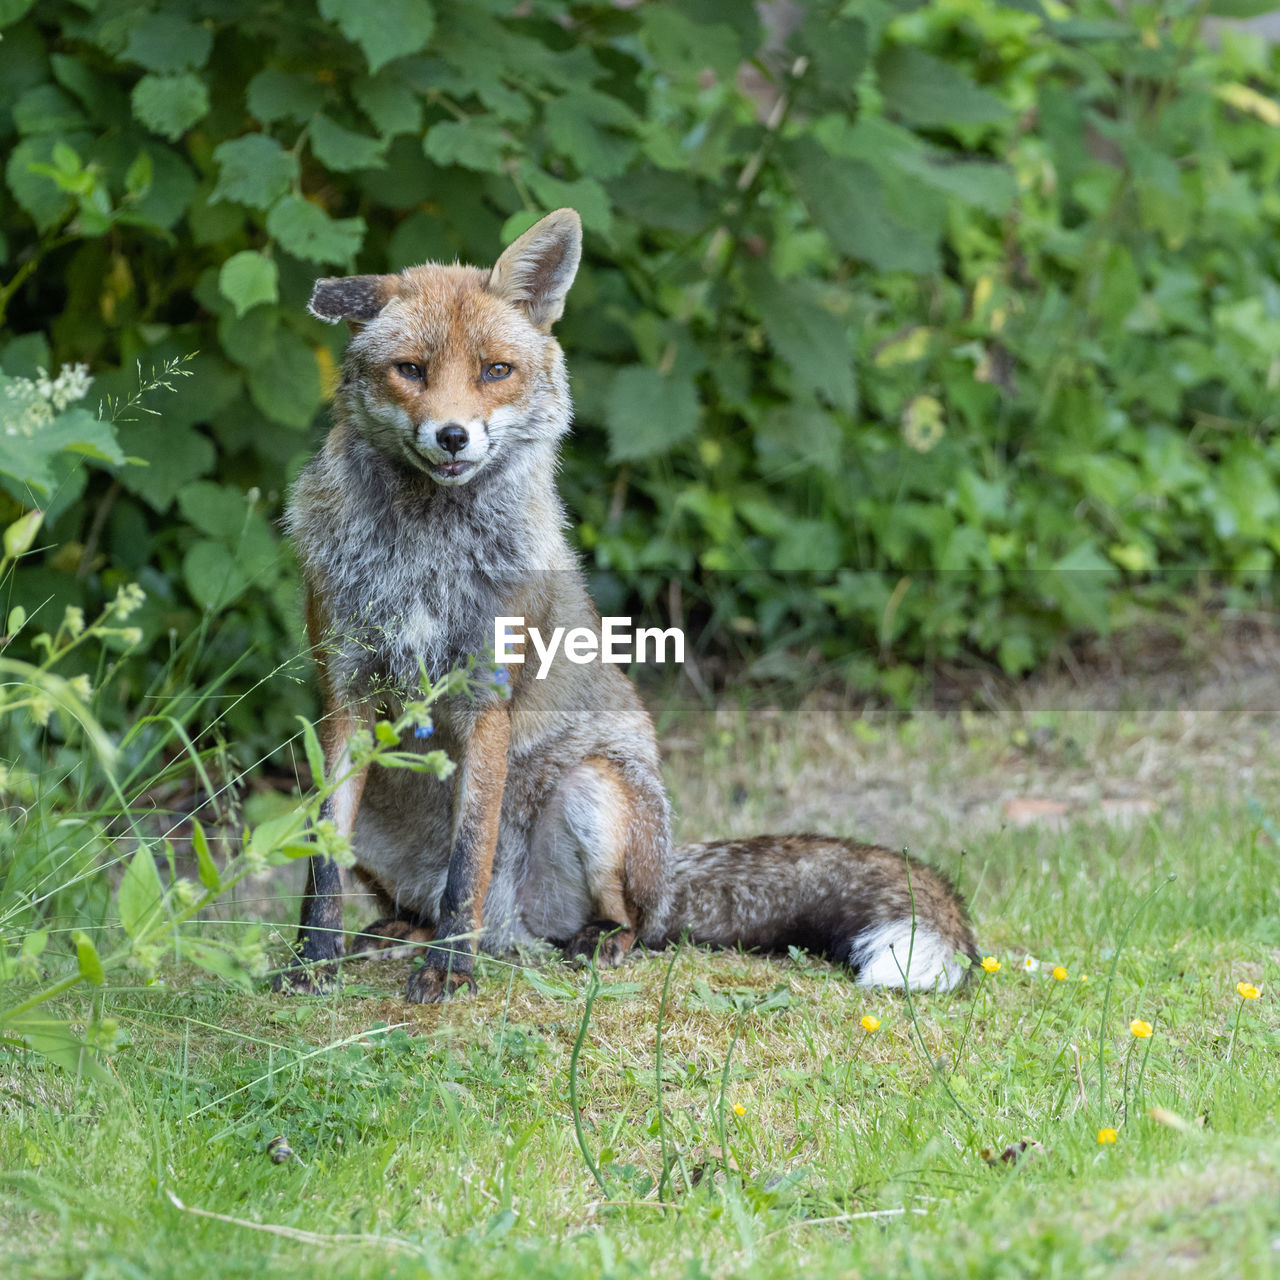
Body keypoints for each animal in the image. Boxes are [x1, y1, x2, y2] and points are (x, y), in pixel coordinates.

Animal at [280, 207, 977, 998]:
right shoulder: (347, 691)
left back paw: (571, 943)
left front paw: (450, 973)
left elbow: (468, 861)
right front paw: (311, 962)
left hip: (598, 793)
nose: (453, 436)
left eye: (495, 371)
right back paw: (400, 933)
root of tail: (514, 931)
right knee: (415, 896)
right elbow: (323, 866)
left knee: (630, 924)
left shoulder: (486, 698)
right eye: (411, 371)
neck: (426, 552)